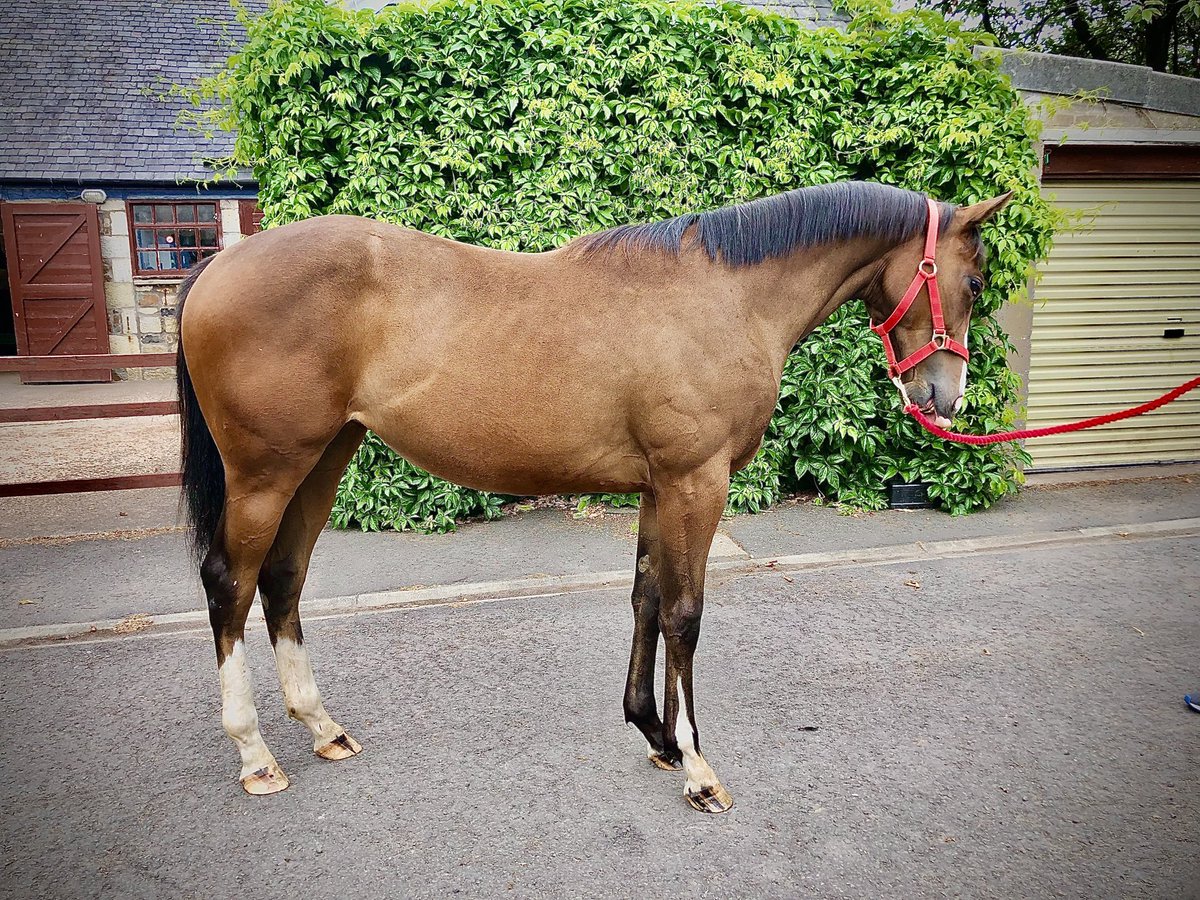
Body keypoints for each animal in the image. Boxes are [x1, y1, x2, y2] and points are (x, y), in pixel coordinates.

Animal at [176, 180, 1010, 813]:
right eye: (973, 282)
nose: (946, 400)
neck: (727, 296)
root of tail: (218, 266)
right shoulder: (696, 481)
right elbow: (684, 615)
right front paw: (698, 769)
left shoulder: (657, 487)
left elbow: (646, 598)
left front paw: (656, 736)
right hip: (267, 473)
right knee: (229, 584)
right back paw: (255, 754)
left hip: (323, 460)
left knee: (282, 579)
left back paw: (322, 727)